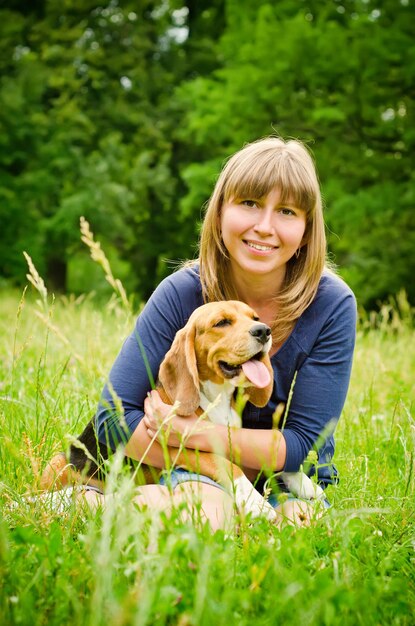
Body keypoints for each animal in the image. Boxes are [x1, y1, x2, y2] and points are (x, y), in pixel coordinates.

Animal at [40, 298, 324, 516]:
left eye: (254, 317)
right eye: (222, 322)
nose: (263, 331)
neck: (215, 397)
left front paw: (302, 482)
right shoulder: (180, 449)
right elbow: (227, 465)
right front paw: (255, 501)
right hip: (59, 463)